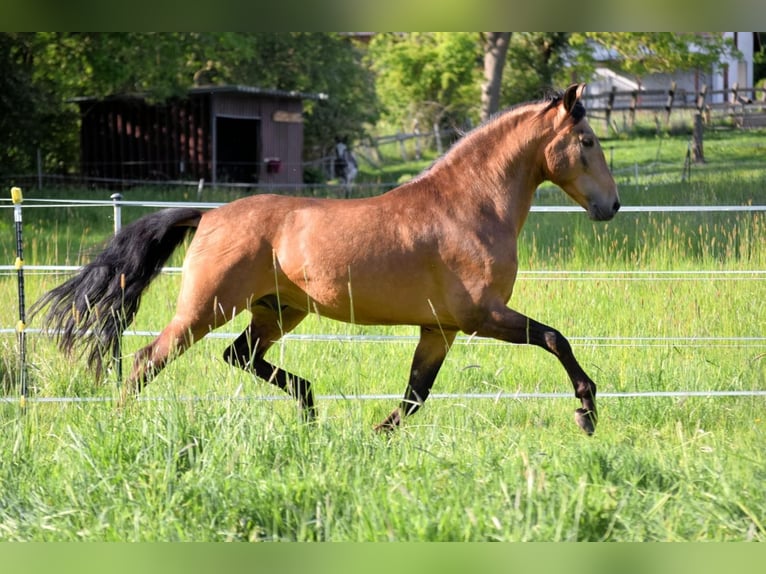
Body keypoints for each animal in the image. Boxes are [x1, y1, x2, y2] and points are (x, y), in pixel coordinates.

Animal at [31, 83, 620, 435]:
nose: (610, 206)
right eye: (588, 140)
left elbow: (416, 393)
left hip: (277, 311)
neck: (468, 206)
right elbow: (555, 339)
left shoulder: (441, 329)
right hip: (206, 307)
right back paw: (119, 423)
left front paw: (377, 435)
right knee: (146, 359)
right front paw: (586, 412)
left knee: (240, 356)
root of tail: (211, 214)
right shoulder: (481, 316)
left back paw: (311, 410)